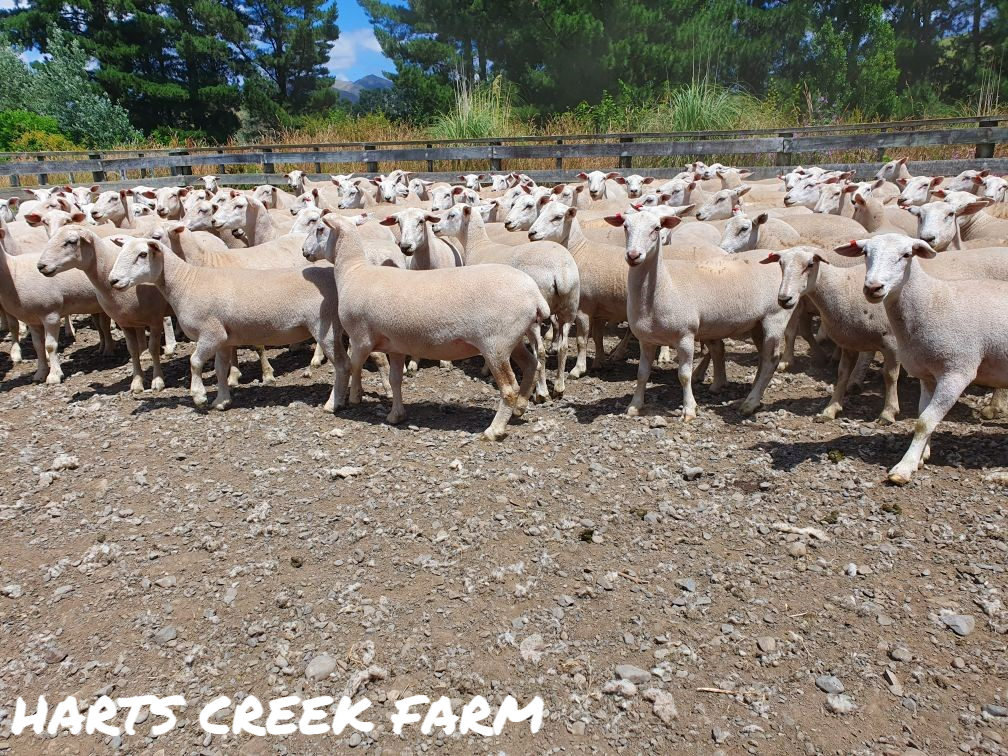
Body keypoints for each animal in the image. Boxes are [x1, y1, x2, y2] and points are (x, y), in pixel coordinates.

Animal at [38, 227, 170, 393]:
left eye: (71, 241)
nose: (40, 266)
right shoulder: (125, 322)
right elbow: (132, 350)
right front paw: (137, 382)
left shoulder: (155, 320)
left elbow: (154, 349)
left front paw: (158, 380)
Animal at [108, 237, 344, 411]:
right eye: (120, 251)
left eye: (142, 254)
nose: (113, 281)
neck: (186, 283)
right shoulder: (223, 338)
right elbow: (220, 369)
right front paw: (221, 401)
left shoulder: (210, 333)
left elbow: (194, 362)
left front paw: (199, 396)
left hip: (325, 326)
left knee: (342, 366)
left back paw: (333, 403)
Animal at [306, 214, 546, 440]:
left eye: (320, 228)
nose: (304, 251)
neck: (353, 271)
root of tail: (534, 294)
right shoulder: (395, 345)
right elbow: (395, 379)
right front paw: (396, 415)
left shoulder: (360, 338)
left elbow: (350, 366)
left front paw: (347, 398)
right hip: (513, 339)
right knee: (531, 365)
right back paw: (520, 408)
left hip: (495, 345)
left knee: (509, 389)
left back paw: (494, 430)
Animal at [608, 210, 793, 419]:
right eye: (625, 227)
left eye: (656, 228)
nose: (633, 255)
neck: (664, 286)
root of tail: (772, 256)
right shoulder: (646, 339)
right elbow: (641, 374)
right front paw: (634, 405)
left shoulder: (685, 336)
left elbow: (684, 375)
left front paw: (689, 409)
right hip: (757, 324)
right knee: (763, 356)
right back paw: (751, 394)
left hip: (776, 316)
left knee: (771, 359)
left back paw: (750, 402)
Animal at [835, 233, 1008, 484]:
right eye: (865, 253)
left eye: (906, 255)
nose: (873, 287)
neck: (931, 301)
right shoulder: (927, 375)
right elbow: (922, 416)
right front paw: (921, 456)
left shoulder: (956, 372)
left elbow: (924, 421)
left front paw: (904, 467)